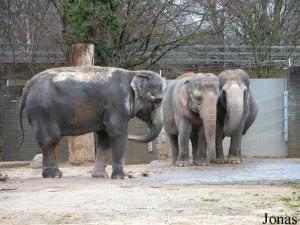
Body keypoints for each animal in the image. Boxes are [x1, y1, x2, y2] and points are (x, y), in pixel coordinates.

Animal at [17, 66, 163, 178]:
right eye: (157, 101)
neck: (133, 73)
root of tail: (28, 85)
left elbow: (105, 138)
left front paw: (100, 176)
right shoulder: (117, 104)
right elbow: (117, 133)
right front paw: (123, 177)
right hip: (42, 110)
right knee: (51, 139)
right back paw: (54, 175)